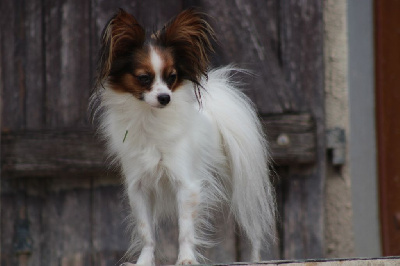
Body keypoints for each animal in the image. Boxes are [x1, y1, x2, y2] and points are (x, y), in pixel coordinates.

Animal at [91, 8, 276, 266]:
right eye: (144, 78)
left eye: (172, 77)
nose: (165, 97)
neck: (150, 119)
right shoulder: (138, 187)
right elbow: (146, 232)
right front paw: (144, 261)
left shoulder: (186, 184)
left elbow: (185, 229)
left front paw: (186, 259)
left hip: (244, 187)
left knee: (253, 229)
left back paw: (256, 258)